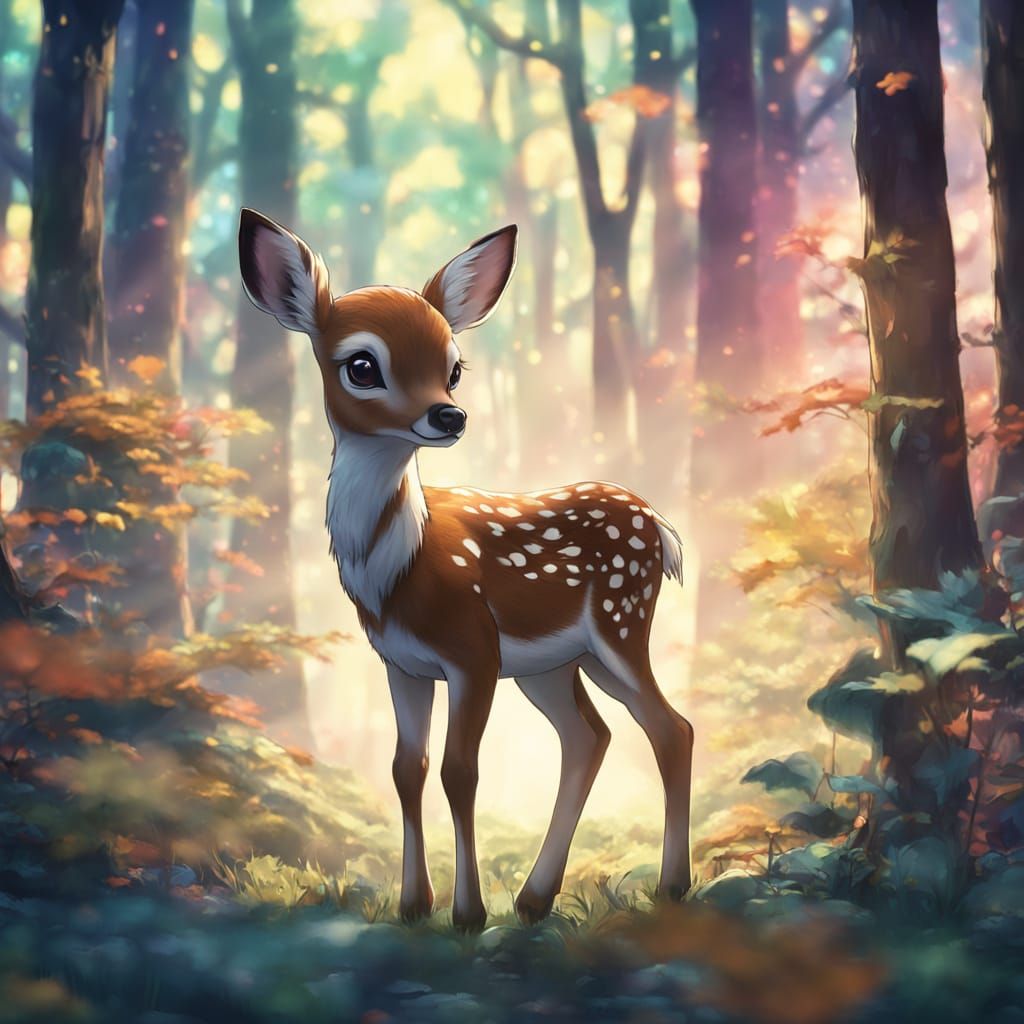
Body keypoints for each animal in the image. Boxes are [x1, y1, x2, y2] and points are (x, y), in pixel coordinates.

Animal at [237, 208, 694, 932]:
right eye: (361, 365)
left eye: (454, 368)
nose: (448, 414)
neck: (400, 572)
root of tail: (660, 528)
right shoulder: (401, 662)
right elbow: (407, 768)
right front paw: (413, 905)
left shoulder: (473, 650)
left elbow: (460, 771)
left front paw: (469, 912)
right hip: (555, 663)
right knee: (590, 736)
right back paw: (536, 899)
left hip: (620, 622)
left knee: (670, 728)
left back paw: (671, 886)